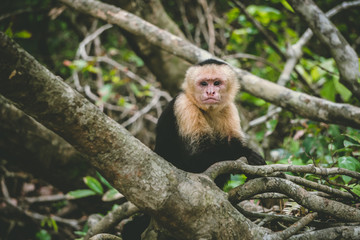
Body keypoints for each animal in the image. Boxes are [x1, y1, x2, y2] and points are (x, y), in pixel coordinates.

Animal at [155, 59, 264, 187]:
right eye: (204, 84)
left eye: (216, 83)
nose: (210, 92)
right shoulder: (184, 105)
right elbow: (196, 158)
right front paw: (246, 153)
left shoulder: (229, 108)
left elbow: (233, 141)